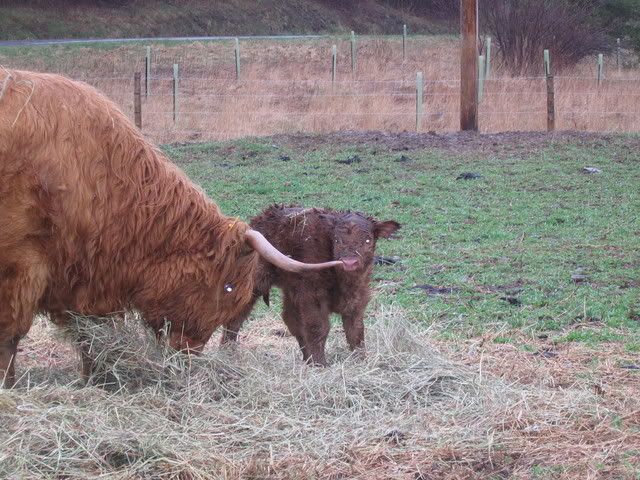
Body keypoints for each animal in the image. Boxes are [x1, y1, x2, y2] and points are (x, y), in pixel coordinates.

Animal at [220, 205, 401, 366]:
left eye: (368, 239)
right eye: (337, 240)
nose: (349, 262)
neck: (345, 282)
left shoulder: (357, 299)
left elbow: (356, 332)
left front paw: (362, 361)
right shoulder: (312, 297)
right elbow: (318, 328)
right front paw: (321, 364)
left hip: (291, 289)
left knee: (290, 319)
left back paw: (307, 358)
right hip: (255, 282)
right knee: (236, 317)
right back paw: (227, 352)